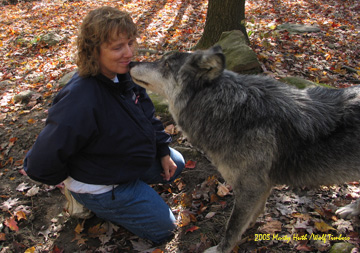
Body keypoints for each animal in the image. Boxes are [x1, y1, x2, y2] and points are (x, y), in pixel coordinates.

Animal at [129, 46, 360, 252]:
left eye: (166, 64)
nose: (130, 63)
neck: (230, 109)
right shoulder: (261, 187)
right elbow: (253, 214)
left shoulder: (251, 187)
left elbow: (232, 227)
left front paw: (220, 249)